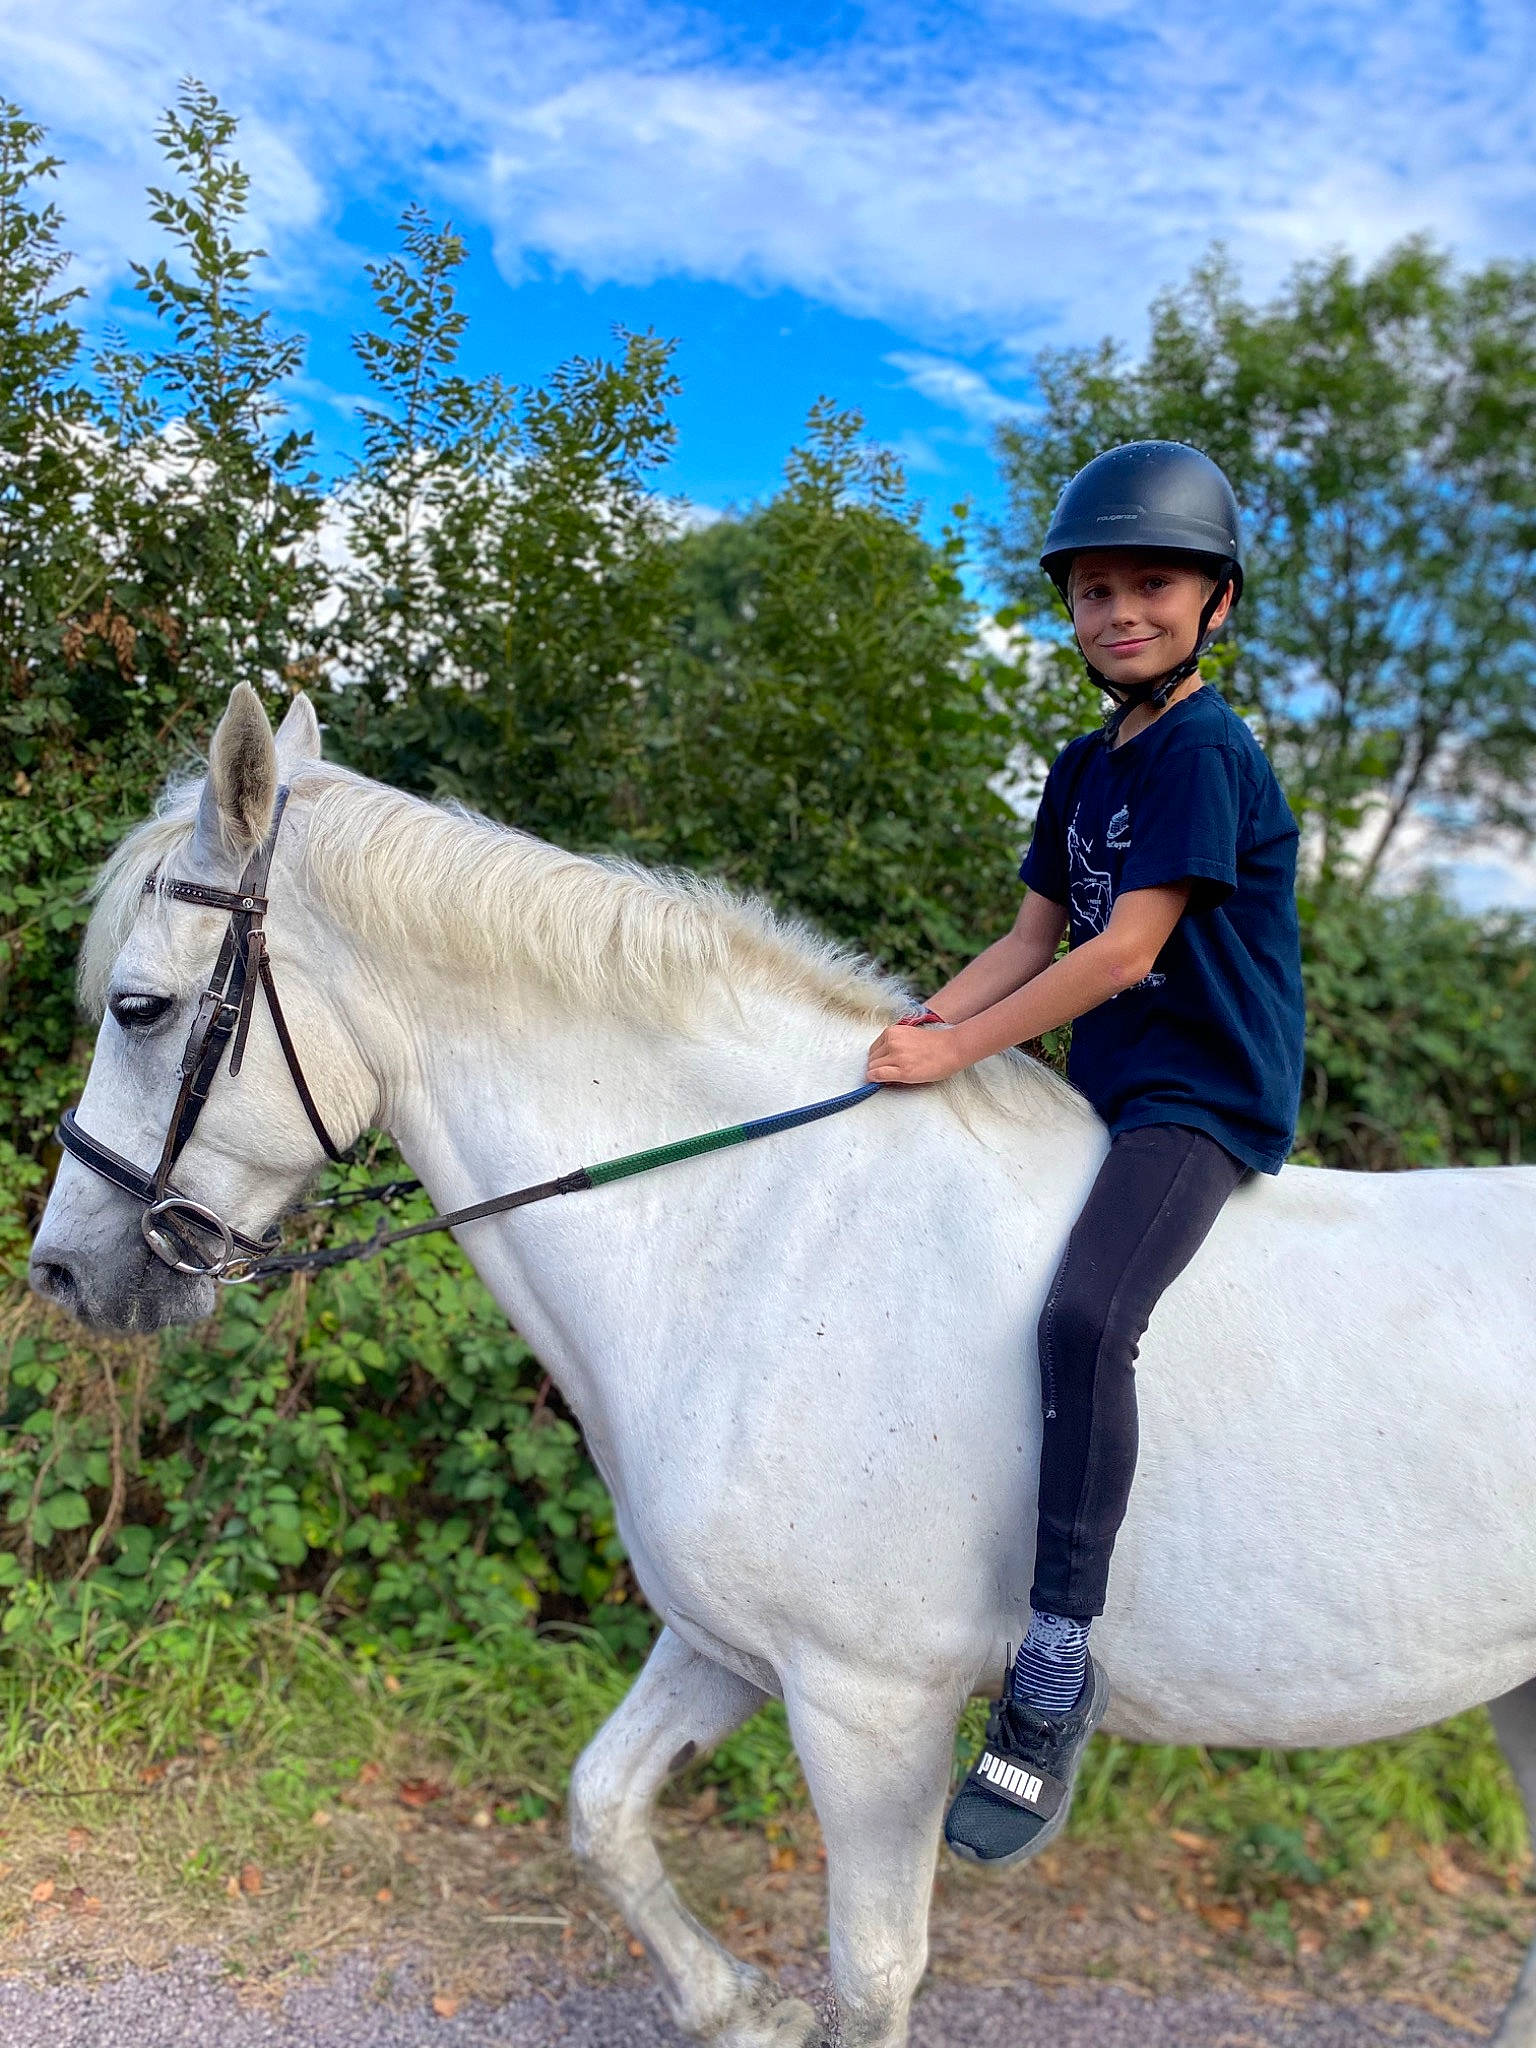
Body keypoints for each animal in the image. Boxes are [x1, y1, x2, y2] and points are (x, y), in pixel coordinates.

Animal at [29, 684, 1536, 2047]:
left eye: (141, 1007)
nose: (65, 1272)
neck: (762, 1228)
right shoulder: (726, 1643)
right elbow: (602, 1807)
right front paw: (735, 2008)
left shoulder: (871, 1702)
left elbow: (872, 1975)